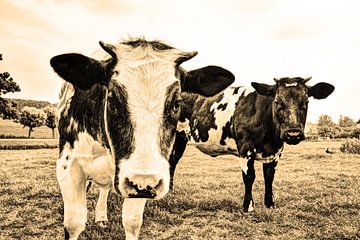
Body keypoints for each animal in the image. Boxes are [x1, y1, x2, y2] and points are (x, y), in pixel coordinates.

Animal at [51, 38, 236, 239]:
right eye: (112, 101)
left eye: (176, 104)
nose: (143, 181)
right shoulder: (68, 165)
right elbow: (74, 224)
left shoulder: (141, 187)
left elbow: (132, 223)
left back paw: (101, 217)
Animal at [169, 76, 334, 212]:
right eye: (277, 102)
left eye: (305, 102)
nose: (293, 133)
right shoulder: (245, 148)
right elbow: (249, 176)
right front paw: (248, 206)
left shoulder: (275, 152)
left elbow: (269, 176)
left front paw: (270, 204)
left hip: (181, 139)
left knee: (173, 162)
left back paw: (170, 191)